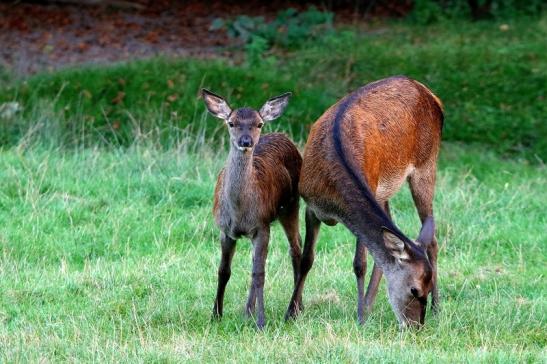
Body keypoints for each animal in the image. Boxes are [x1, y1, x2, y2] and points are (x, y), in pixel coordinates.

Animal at [202, 89, 304, 330]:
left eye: (258, 124)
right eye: (231, 123)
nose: (246, 141)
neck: (239, 211)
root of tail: (283, 136)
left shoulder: (261, 225)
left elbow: (259, 274)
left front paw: (261, 322)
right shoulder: (225, 230)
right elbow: (224, 271)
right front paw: (215, 315)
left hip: (291, 205)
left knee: (296, 248)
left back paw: (295, 309)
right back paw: (247, 311)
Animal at [286, 76, 446, 328]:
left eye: (426, 290)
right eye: (414, 289)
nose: (416, 327)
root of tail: (430, 93)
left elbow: (359, 263)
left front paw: (360, 315)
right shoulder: (311, 207)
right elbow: (306, 259)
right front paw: (291, 312)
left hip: (426, 165)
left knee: (432, 240)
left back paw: (437, 308)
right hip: (385, 192)